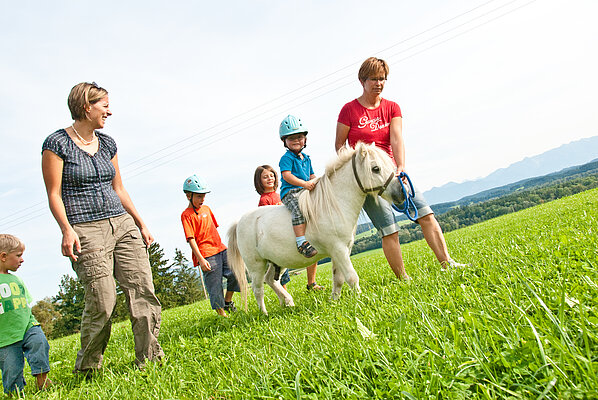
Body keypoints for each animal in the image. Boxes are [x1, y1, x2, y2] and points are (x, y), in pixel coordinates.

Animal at [229, 142, 408, 314]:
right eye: (375, 168)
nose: (401, 192)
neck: (335, 203)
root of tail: (239, 222)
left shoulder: (341, 250)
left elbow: (339, 278)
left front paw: (335, 300)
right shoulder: (339, 249)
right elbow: (351, 276)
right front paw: (361, 299)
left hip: (277, 261)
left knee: (271, 280)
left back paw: (288, 302)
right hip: (255, 265)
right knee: (258, 289)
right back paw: (265, 314)